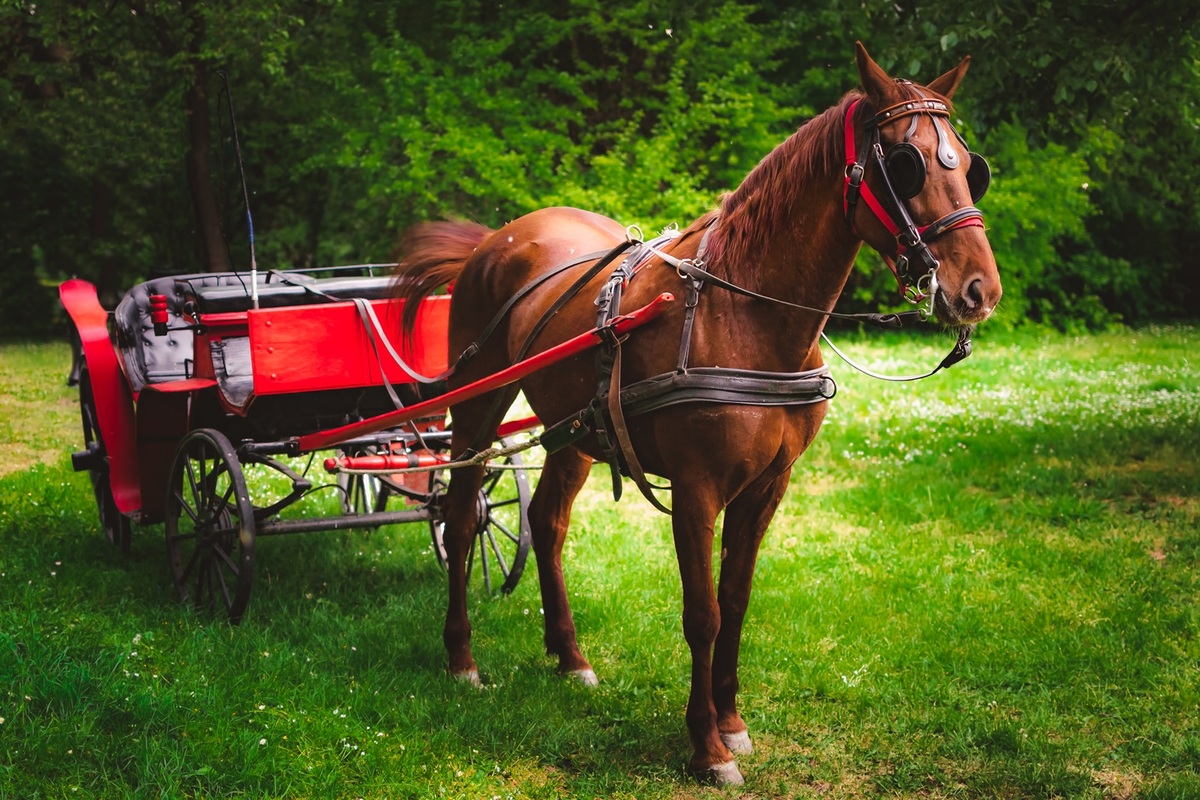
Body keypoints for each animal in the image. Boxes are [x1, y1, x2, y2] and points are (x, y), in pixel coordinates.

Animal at [393, 40, 1003, 786]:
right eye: (905, 163)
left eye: (969, 166)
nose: (978, 290)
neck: (744, 316)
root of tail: (499, 236)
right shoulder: (697, 489)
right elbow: (703, 613)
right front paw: (707, 746)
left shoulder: (767, 487)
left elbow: (736, 599)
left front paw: (732, 721)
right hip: (478, 403)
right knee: (459, 514)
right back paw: (462, 658)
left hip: (575, 430)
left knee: (548, 523)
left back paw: (570, 656)